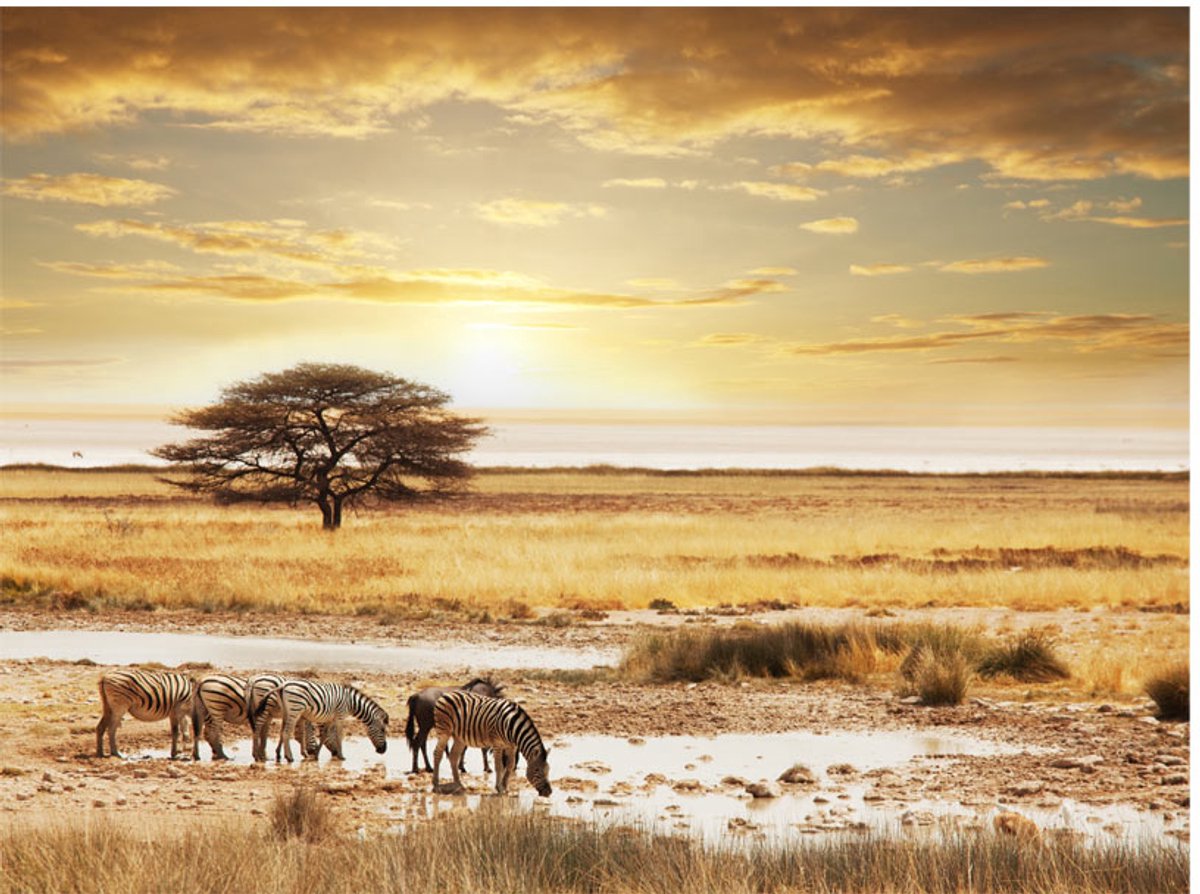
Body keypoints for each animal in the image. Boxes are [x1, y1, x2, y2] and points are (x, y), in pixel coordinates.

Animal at [251, 680, 388, 763]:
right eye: (383, 730)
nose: (383, 750)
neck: (351, 702)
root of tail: (283, 685)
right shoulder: (340, 716)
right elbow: (339, 736)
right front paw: (341, 756)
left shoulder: (330, 719)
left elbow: (324, 736)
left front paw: (316, 755)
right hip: (295, 710)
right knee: (285, 733)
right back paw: (289, 757)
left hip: (287, 711)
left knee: (280, 732)